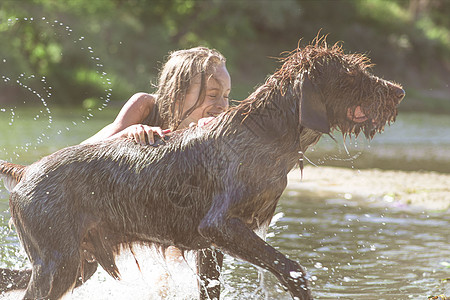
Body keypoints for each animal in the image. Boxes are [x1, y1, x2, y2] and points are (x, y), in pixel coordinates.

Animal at [0, 38, 402, 300]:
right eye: (352, 75)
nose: (398, 91)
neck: (269, 132)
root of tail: (24, 171)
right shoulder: (220, 225)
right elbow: (293, 269)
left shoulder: (212, 246)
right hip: (58, 264)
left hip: (78, 262)